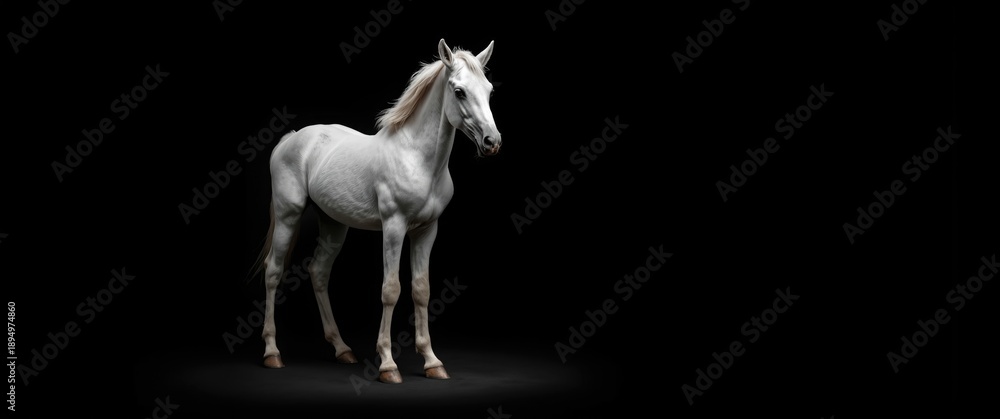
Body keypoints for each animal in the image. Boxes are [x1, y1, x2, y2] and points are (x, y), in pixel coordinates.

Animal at [252, 39, 501, 384]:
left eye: (489, 90)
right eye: (459, 91)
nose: (492, 142)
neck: (418, 159)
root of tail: (290, 139)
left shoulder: (427, 230)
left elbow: (421, 289)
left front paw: (432, 361)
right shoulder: (394, 227)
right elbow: (391, 289)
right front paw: (387, 364)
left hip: (333, 224)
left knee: (318, 272)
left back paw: (342, 349)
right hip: (289, 216)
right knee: (274, 271)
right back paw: (272, 352)